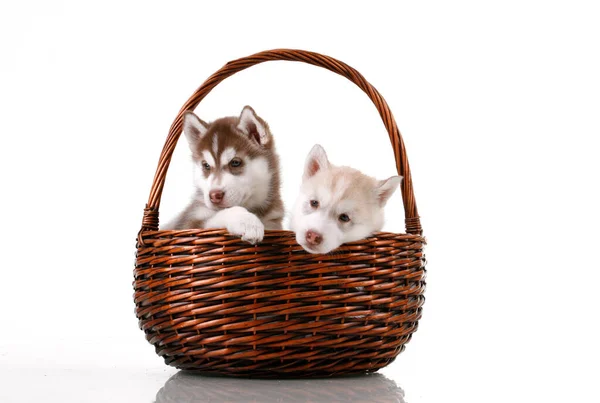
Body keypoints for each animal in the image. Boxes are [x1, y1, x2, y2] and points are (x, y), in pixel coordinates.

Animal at [162, 105, 284, 245]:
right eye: (206, 165)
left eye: (235, 162)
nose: (214, 196)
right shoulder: (190, 223)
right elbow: (226, 212)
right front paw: (248, 222)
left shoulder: (273, 223)